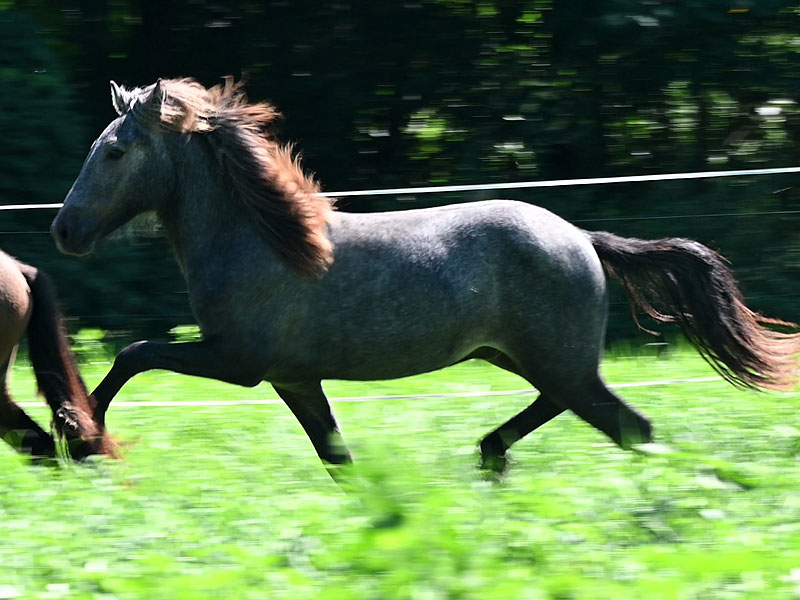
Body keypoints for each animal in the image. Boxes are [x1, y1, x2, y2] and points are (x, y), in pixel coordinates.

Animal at [50, 77, 800, 475]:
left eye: (114, 151)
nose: (64, 231)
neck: (261, 241)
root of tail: (583, 238)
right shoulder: (293, 378)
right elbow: (337, 458)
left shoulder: (239, 361)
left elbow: (133, 354)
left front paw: (78, 436)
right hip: (522, 357)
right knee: (575, 411)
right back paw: (489, 455)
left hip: (556, 359)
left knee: (629, 425)